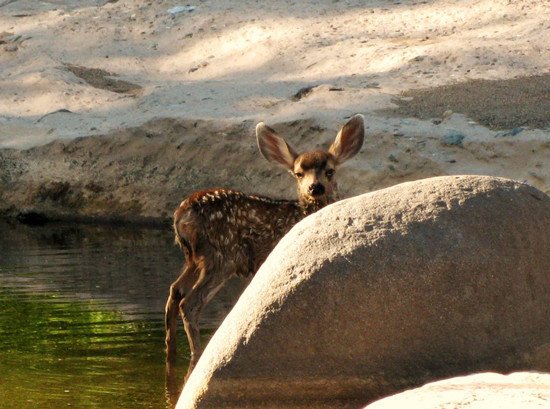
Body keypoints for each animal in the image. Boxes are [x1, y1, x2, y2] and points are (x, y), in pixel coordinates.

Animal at [166, 113, 364, 378]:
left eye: (330, 171)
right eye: (298, 173)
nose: (315, 187)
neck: (304, 212)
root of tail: (182, 215)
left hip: (194, 257)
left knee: (175, 290)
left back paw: (171, 353)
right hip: (222, 256)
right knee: (189, 303)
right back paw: (197, 356)